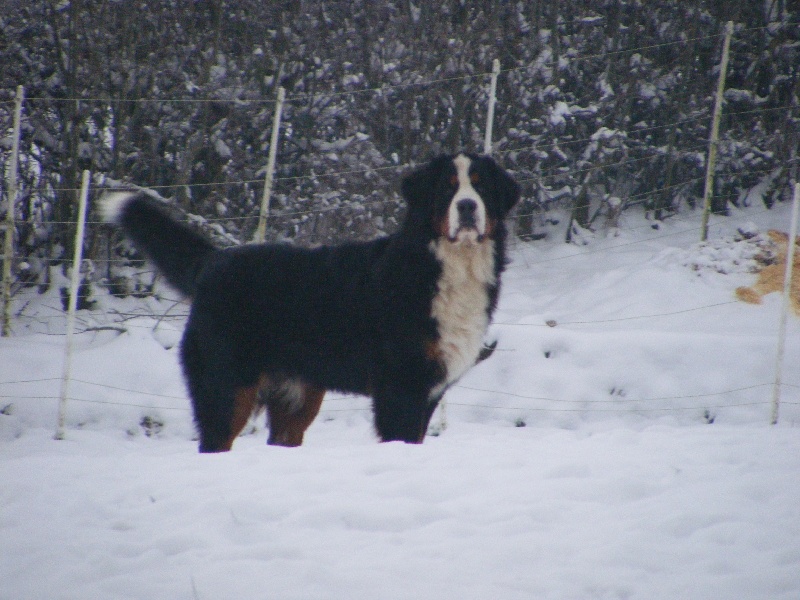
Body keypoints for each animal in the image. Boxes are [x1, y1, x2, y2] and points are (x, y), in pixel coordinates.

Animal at [101, 152, 520, 452]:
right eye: (448, 189)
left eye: (480, 188)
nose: (467, 207)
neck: (451, 267)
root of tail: (215, 260)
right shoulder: (400, 387)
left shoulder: (429, 389)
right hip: (226, 388)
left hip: (296, 401)